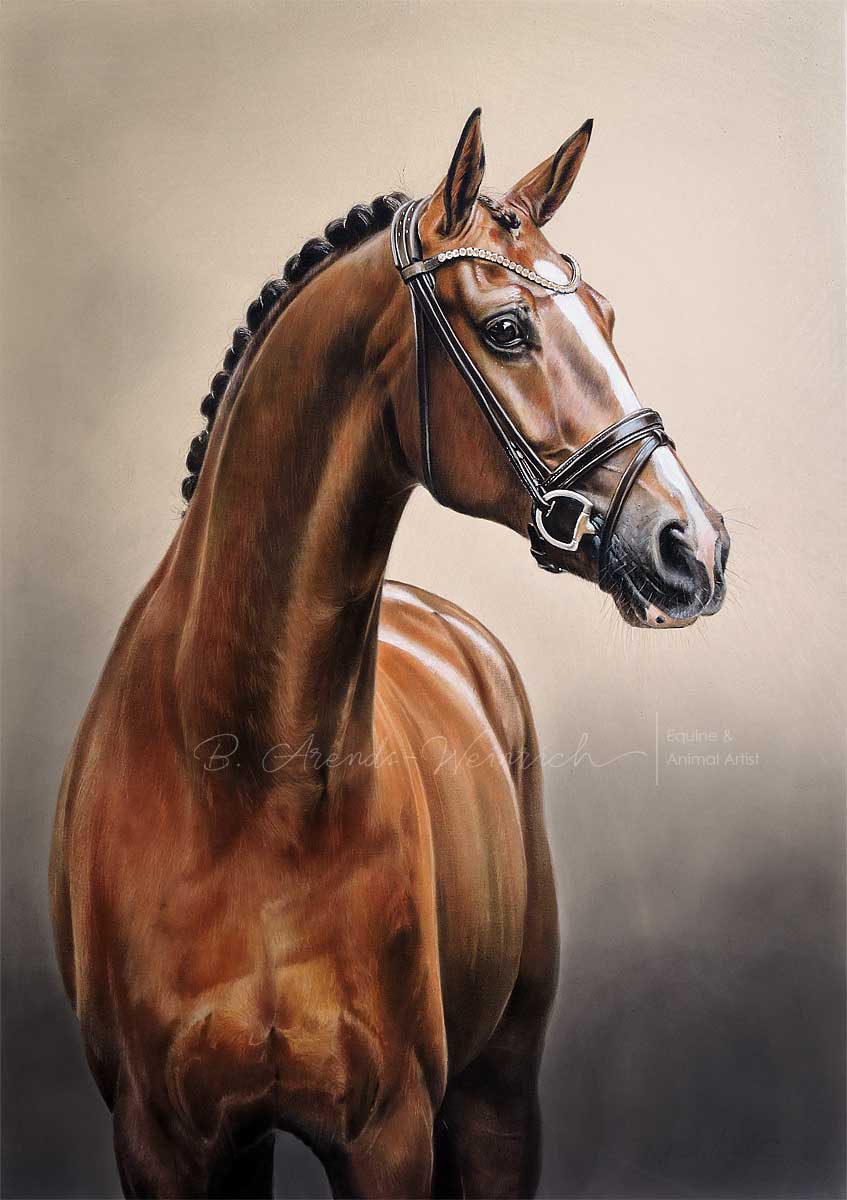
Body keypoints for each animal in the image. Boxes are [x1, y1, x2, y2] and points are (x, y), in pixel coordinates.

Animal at [50, 110, 729, 1200]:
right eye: (506, 329)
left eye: (607, 315)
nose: (693, 545)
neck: (245, 785)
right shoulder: (166, 1140)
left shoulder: (389, 1133)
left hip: (497, 1096)